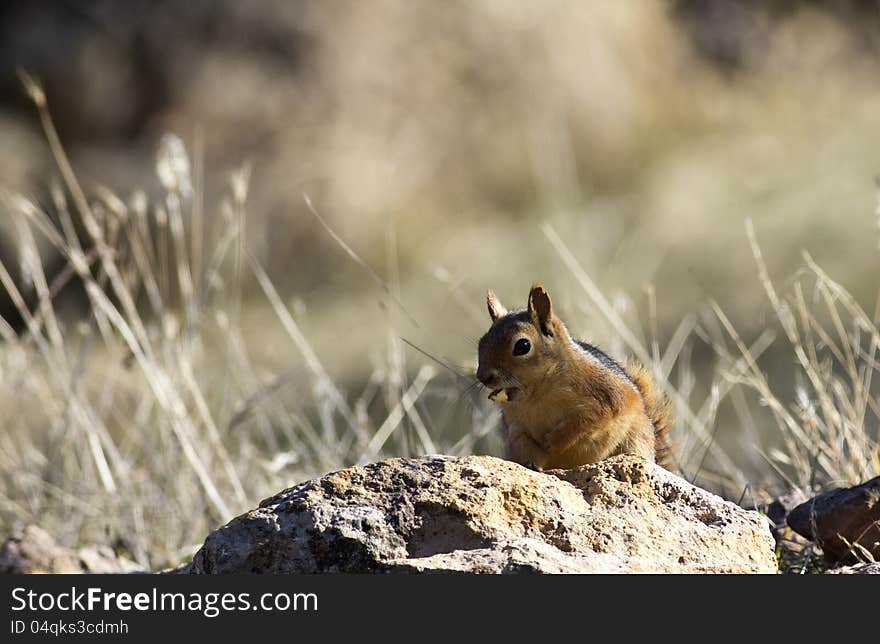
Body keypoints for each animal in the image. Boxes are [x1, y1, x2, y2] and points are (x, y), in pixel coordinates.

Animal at [474, 280, 672, 468]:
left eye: (522, 346)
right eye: (481, 342)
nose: (483, 377)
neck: (538, 395)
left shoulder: (606, 396)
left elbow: (588, 420)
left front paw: (554, 440)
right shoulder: (515, 428)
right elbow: (525, 444)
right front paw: (531, 463)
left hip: (636, 439)